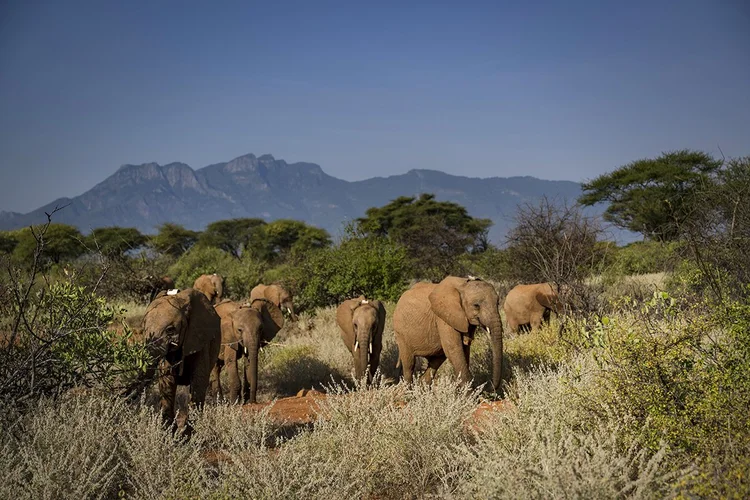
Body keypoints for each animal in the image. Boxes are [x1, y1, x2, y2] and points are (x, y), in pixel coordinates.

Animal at [140, 288, 221, 431]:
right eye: (143, 328)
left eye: (170, 330)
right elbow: (167, 380)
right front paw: (169, 432)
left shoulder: (199, 339)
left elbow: (199, 380)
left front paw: (187, 433)